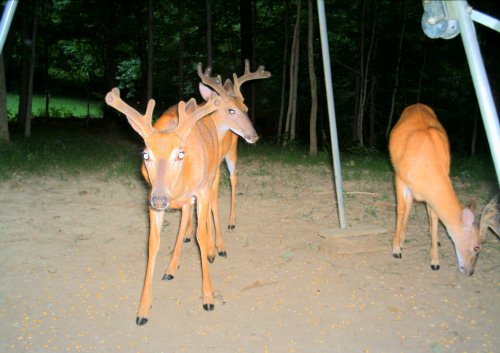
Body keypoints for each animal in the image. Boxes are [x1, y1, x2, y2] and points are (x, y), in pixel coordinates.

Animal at [105, 87, 221, 324]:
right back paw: (171, 268)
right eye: (145, 154)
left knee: (212, 207)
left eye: (180, 153)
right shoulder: (151, 197)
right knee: (185, 216)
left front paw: (208, 297)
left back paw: (214, 251)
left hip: (213, 176)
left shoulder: (202, 190)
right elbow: (152, 243)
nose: (160, 199)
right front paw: (142, 309)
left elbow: (201, 235)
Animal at [160, 60, 270, 280]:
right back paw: (188, 233)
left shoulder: (214, 169)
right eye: (231, 110)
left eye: (246, 107)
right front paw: (204, 245)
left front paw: (215, 248)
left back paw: (231, 222)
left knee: (234, 179)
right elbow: (203, 203)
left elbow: (212, 203)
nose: (254, 135)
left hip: (232, 152)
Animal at [388, 104, 498, 276]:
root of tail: (417, 104)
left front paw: (434, 261)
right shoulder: (399, 177)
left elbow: (434, 217)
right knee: (407, 207)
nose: (470, 272)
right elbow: (400, 210)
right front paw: (396, 249)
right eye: (477, 247)